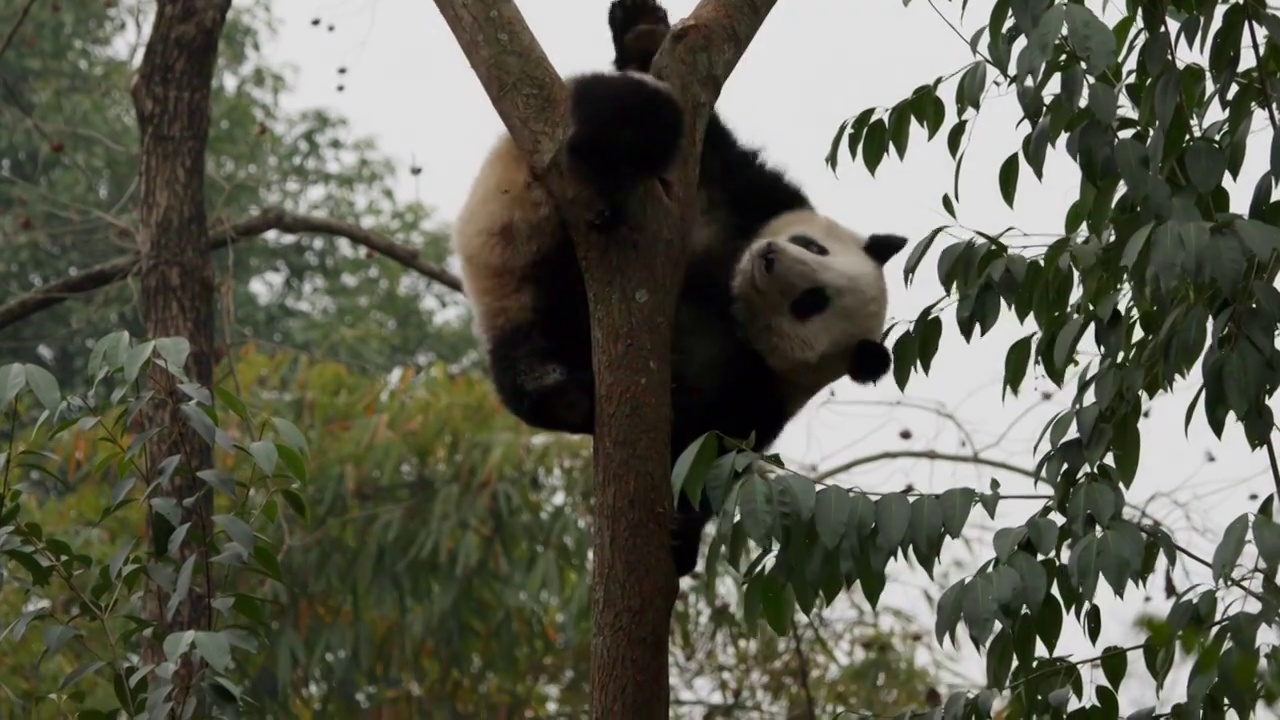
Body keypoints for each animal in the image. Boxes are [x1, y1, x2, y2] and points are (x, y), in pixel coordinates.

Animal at [453, 0, 911, 573]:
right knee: (640, 114)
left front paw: (682, 535)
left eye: (812, 302)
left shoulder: (757, 387)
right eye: (813, 246)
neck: (727, 293)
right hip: (519, 208)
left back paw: (565, 392)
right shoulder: (749, 192)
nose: (769, 258)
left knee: (526, 370)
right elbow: (700, 128)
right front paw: (642, 31)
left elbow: (711, 452)